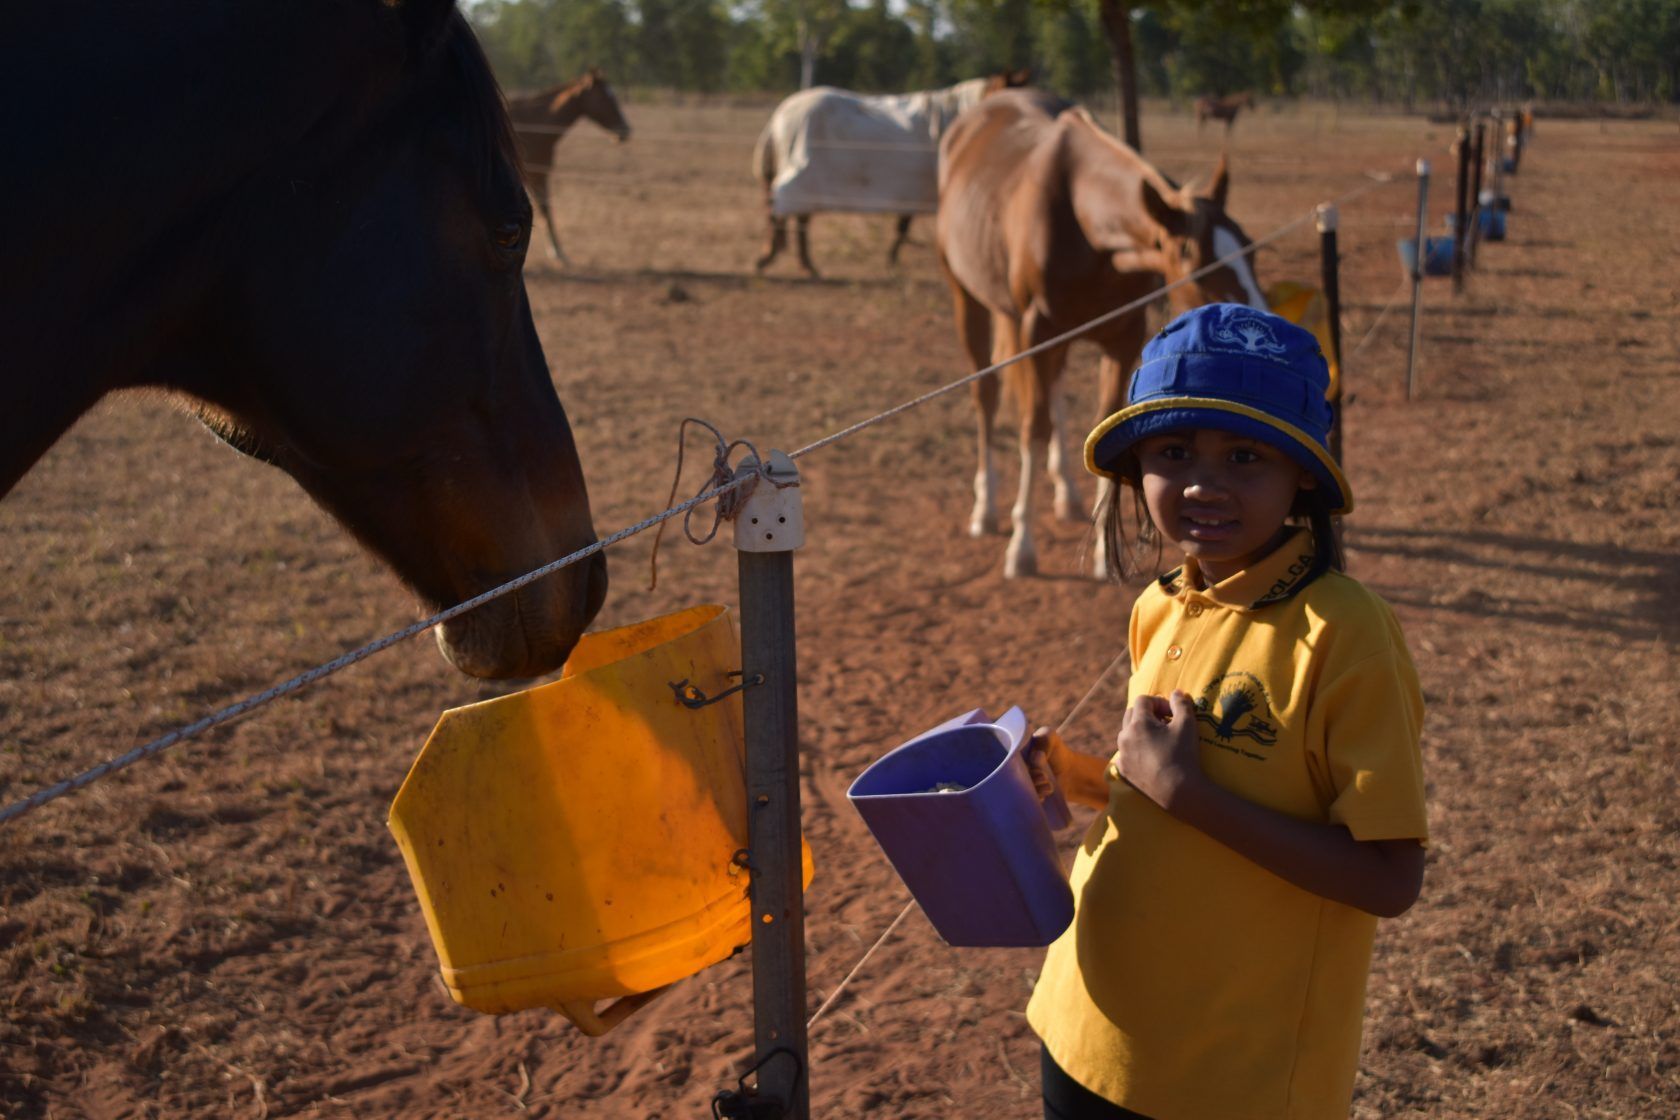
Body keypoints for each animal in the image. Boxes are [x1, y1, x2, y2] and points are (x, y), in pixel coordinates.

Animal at [506, 69, 633, 265]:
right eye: (606, 98)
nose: (625, 130)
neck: (537, 123)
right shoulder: (537, 176)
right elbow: (545, 210)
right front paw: (557, 252)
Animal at [753, 70, 1032, 277]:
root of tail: (781, 113)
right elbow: (904, 226)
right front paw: (893, 260)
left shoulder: (914, 191)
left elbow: (903, 226)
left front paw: (893, 258)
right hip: (803, 177)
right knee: (789, 215)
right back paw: (785, 261)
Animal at [936, 89, 1270, 580]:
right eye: (1195, 261)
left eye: (1250, 247)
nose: (1262, 328)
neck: (1082, 222)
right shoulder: (1037, 331)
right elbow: (1032, 428)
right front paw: (1022, 547)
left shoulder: (1122, 338)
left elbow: (1104, 425)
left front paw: (1102, 554)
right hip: (968, 298)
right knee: (988, 395)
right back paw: (988, 509)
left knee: (1053, 391)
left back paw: (1066, 494)